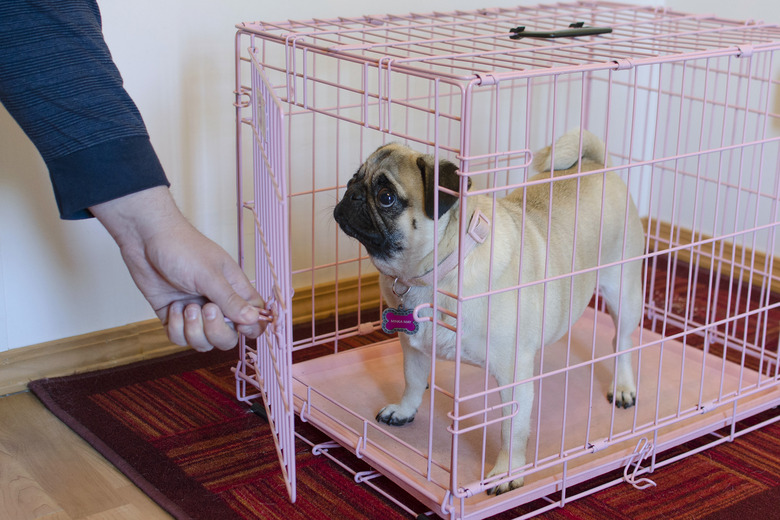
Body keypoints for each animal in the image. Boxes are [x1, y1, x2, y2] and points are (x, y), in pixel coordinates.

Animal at [332, 130, 644, 496]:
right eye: (353, 179)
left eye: (386, 197)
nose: (351, 193)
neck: (433, 275)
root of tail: (596, 165)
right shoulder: (412, 347)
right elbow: (412, 381)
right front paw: (405, 409)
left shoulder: (512, 374)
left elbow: (513, 429)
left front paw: (507, 472)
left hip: (623, 292)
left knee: (622, 342)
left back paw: (623, 386)